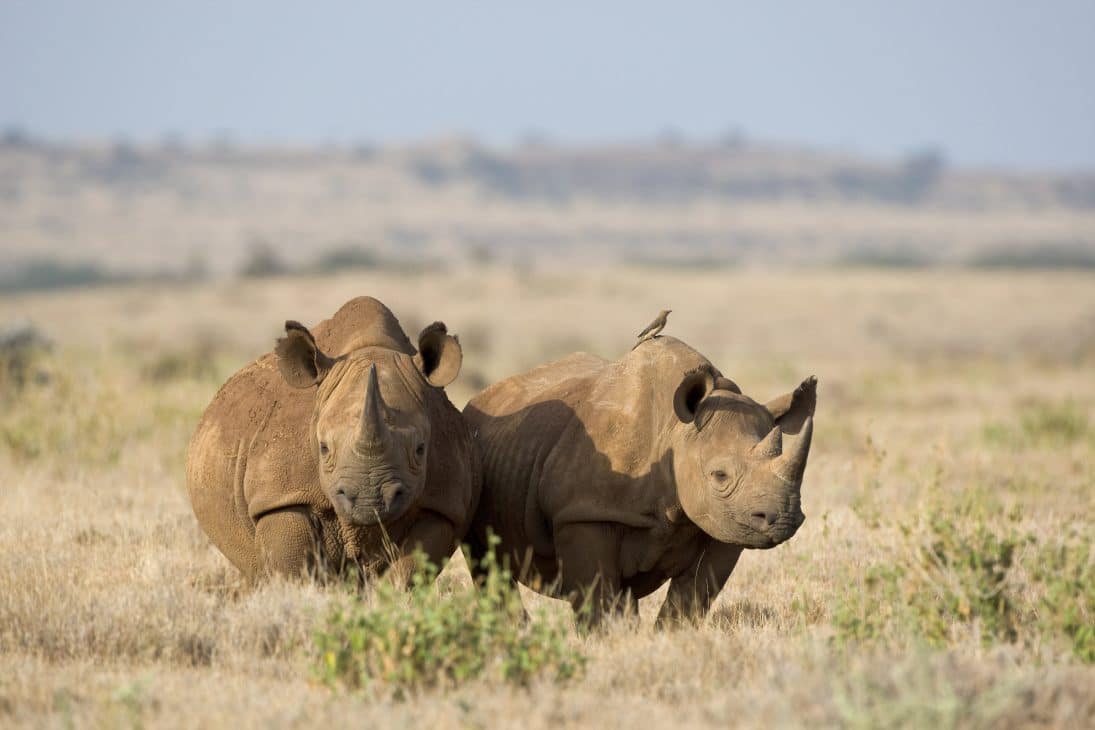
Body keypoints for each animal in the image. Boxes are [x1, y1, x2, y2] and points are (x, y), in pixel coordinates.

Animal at [186, 297, 477, 582]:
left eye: (420, 449)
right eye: (323, 448)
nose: (370, 502)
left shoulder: (441, 505)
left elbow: (409, 572)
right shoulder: (281, 497)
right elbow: (291, 570)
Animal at [462, 310, 814, 626]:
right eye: (720, 476)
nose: (783, 518)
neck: (674, 431)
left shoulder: (724, 523)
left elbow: (691, 600)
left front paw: (671, 638)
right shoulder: (584, 513)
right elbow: (598, 602)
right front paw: (608, 643)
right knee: (488, 565)